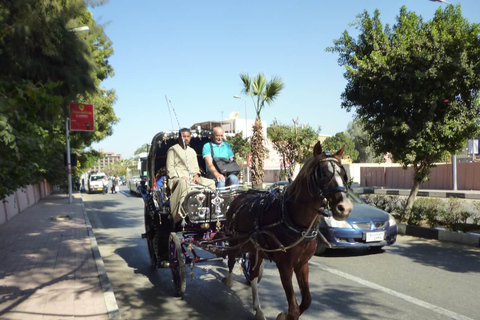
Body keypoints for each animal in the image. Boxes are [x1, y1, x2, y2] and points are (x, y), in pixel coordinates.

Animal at [224, 143, 352, 320]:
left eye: (343, 174)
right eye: (323, 173)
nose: (345, 208)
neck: (294, 220)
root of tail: (240, 197)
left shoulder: (302, 264)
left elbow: (307, 301)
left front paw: (284, 314)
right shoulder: (285, 266)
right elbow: (295, 309)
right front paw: (285, 315)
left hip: (256, 250)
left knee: (254, 275)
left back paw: (258, 309)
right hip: (234, 242)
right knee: (230, 261)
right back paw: (229, 282)